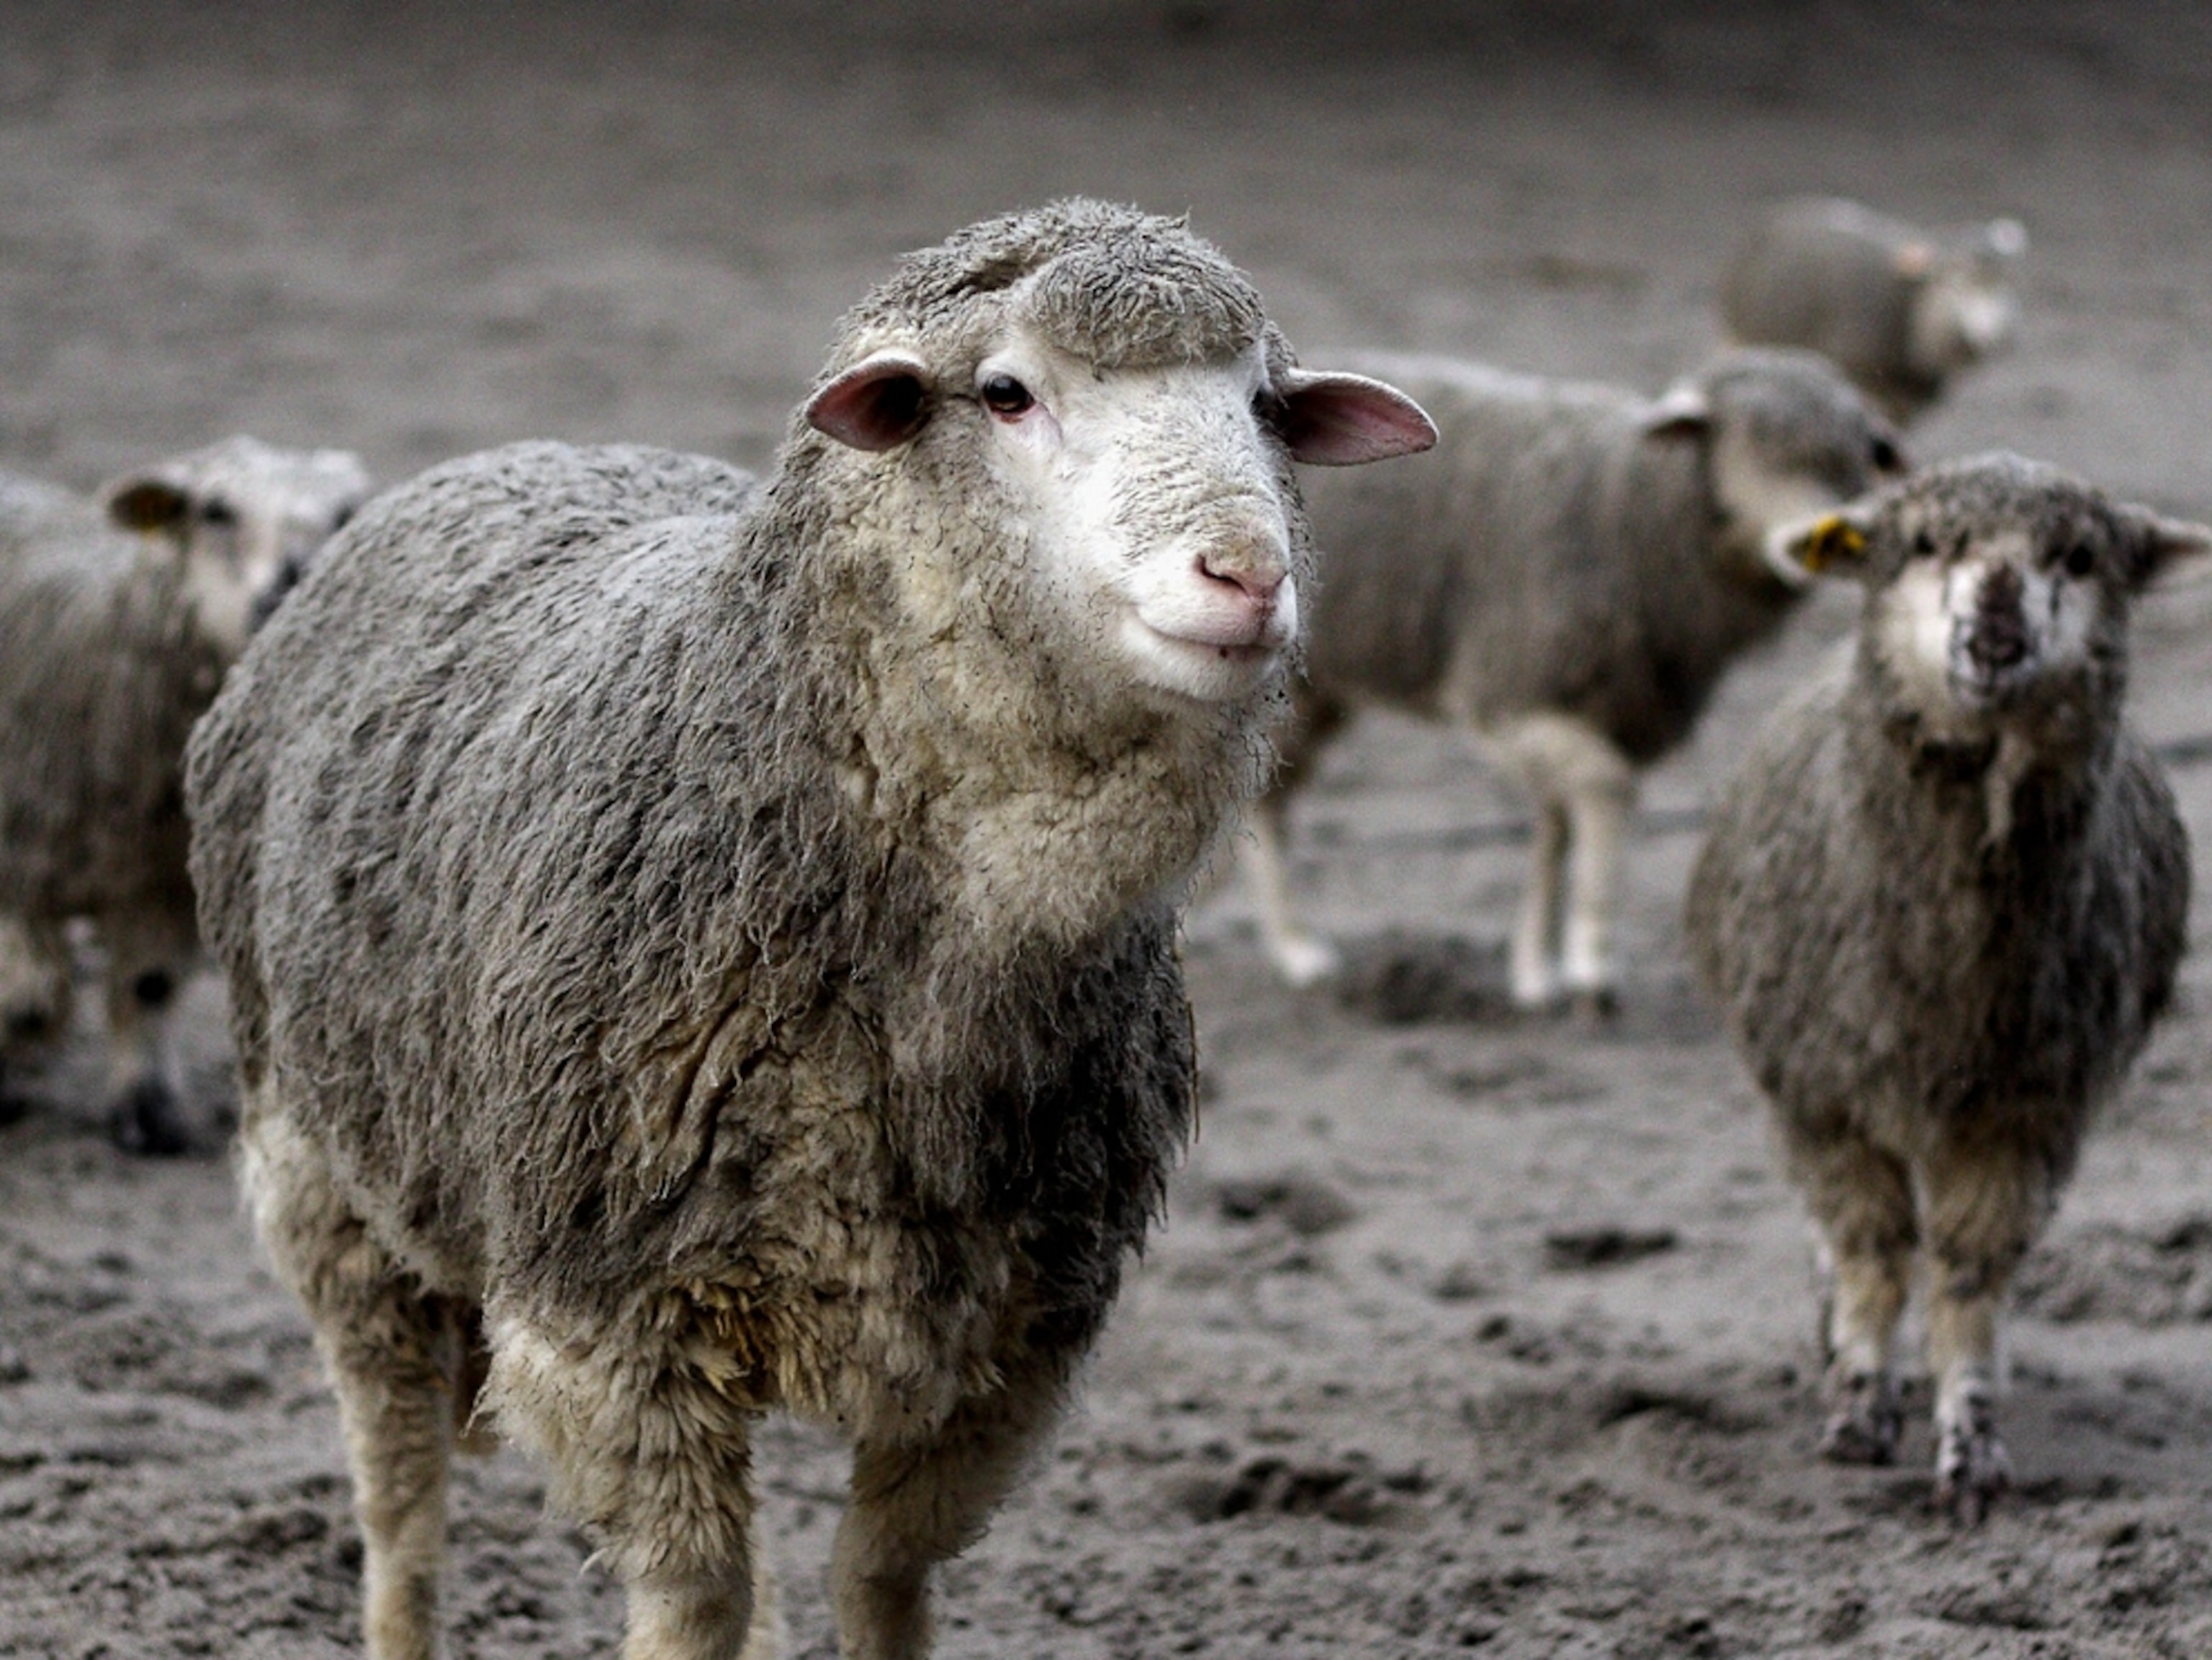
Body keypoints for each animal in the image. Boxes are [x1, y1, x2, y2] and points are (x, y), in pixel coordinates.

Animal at [0, 440, 373, 1151]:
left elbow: (147, 986)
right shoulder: (19, 848)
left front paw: (146, 1112)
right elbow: (27, 994)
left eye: (344, 514)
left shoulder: (164, 882)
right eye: (216, 511)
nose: (289, 580)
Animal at [182, 199, 1435, 1660]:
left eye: (1264, 407)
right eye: (1006, 394)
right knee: (400, 1501)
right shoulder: (608, 1323)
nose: (1245, 575)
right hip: (322, 1183)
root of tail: (505, 455)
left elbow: (878, 1579)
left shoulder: (1009, 1336)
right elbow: (690, 1602)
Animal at [1245, 346, 1905, 1010]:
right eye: (1750, 447)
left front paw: (1535, 967)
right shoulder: (1508, 689)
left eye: (1852, 460)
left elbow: (1555, 830)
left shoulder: (1592, 703)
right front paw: (1592, 962)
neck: (1635, 509)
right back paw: (1296, 949)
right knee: (1267, 803)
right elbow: (1604, 791)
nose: (1812, 534)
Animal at [1684, 454, 2206, 1521]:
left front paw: (1970, 1439)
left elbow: (1970, 1273)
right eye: (1925, 544)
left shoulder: (2026, 1109)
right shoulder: (1824, 1093)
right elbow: (1874, 1251)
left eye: (2078, 556)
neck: (1949, 975)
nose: (1998, 603)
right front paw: (1858, 1406)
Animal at [1719, 196, 2027, 423]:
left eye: (2004, 286)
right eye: (1952, 283)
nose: (1987, 340)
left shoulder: (1908, 402)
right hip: (1737, 336)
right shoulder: (1855, 375)